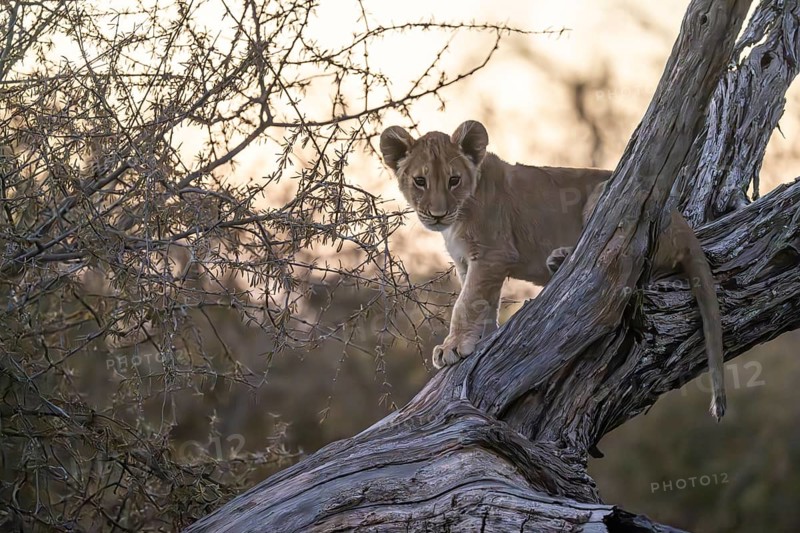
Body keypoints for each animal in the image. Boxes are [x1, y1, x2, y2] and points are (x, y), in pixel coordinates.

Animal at [380, 120, 726, 420]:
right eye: (420, 182)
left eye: (454, 180)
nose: (437, 215)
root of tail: (683, 225)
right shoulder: (469, 263)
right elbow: (483, 302)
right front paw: (481, 339)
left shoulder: (492, 254)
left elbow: (466, 303)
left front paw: (452, 347)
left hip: (612, 195)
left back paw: (564, 257)